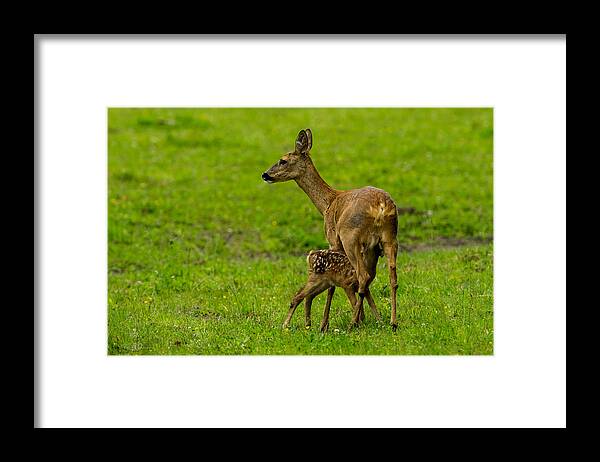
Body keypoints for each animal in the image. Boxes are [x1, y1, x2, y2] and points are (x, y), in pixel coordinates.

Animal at [262, 128, 398, 330]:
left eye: (283, 160)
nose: (265, 175)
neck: (328, 203)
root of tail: (381, 206)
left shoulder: (333, 239)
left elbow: (334, 284)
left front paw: (325, 324)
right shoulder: (371, 249)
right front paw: (373, 318)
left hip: (351, 238)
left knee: (363, 276)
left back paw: (352, 323)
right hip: (390, 237)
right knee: (391, 277)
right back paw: (392, 322)